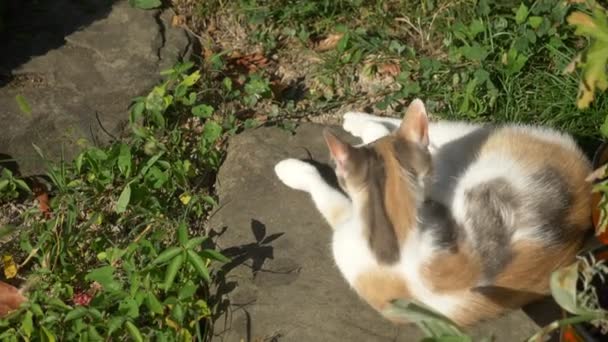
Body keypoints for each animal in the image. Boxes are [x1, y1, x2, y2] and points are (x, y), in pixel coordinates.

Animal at [274, 99, 592, 326]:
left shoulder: (347, 235)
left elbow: (327, 197)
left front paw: (292, 171)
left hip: (463, 165)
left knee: (435, 131)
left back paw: (363, 122)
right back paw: (361, 118)